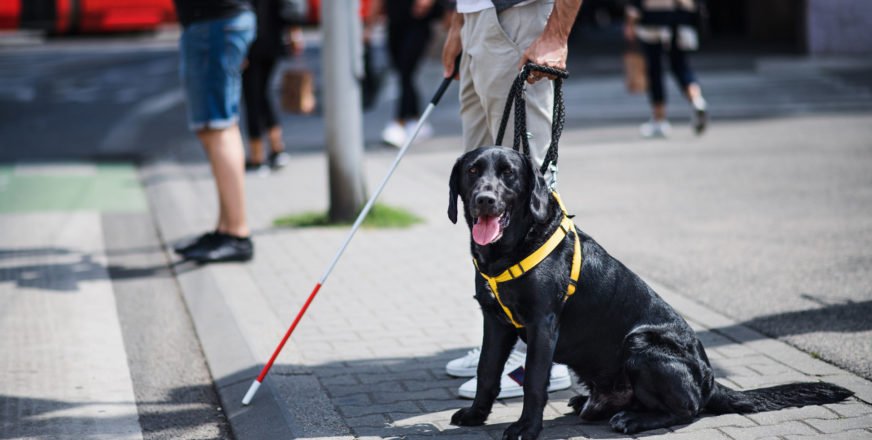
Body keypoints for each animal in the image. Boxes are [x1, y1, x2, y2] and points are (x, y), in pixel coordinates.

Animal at [450, 148, 852, 440]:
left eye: (508, 173)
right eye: (472, 171)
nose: (484, 199)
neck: (509, 251)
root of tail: (710, 382)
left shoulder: (542, 325)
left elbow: (534, 381)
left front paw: (526, 428)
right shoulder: (495, 322)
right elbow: (487, 371)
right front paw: (475, 415)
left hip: (641, 343)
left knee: (688, 410)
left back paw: (633, 419)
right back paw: (591, 403)